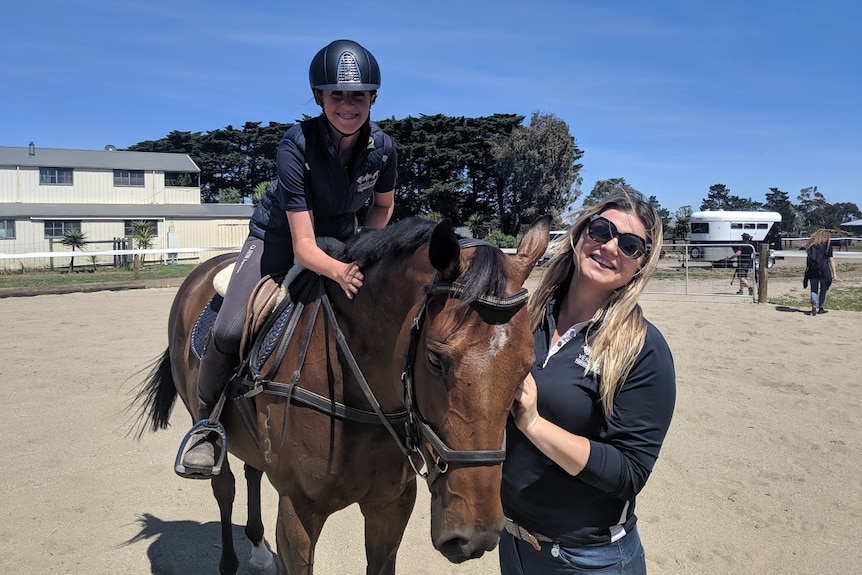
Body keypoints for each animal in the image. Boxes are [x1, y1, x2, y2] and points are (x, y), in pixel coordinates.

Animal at [133, 217, 552, 575]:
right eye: (435, 358)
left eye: (527, 364)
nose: (474, 536)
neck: (359, 397)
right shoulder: (298, 512)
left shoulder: (391, 507)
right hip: (203, 416)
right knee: (225, 486)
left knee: (253, 470)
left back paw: (257, 549)